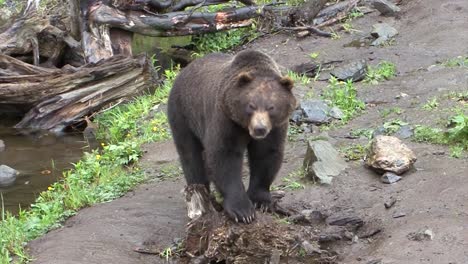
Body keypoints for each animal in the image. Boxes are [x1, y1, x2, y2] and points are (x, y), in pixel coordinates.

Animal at [166, 49, 294, 223]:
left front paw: (262, 200)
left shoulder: (275, 128)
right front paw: (243, 211)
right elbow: (224, 156)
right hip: (183, 113)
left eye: (271, 107)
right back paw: (202, 192)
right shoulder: (226, 119)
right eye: (251, 106)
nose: (259, 129)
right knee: (190, 155)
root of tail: (183, 71)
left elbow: (266, 155)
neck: (244, 126)